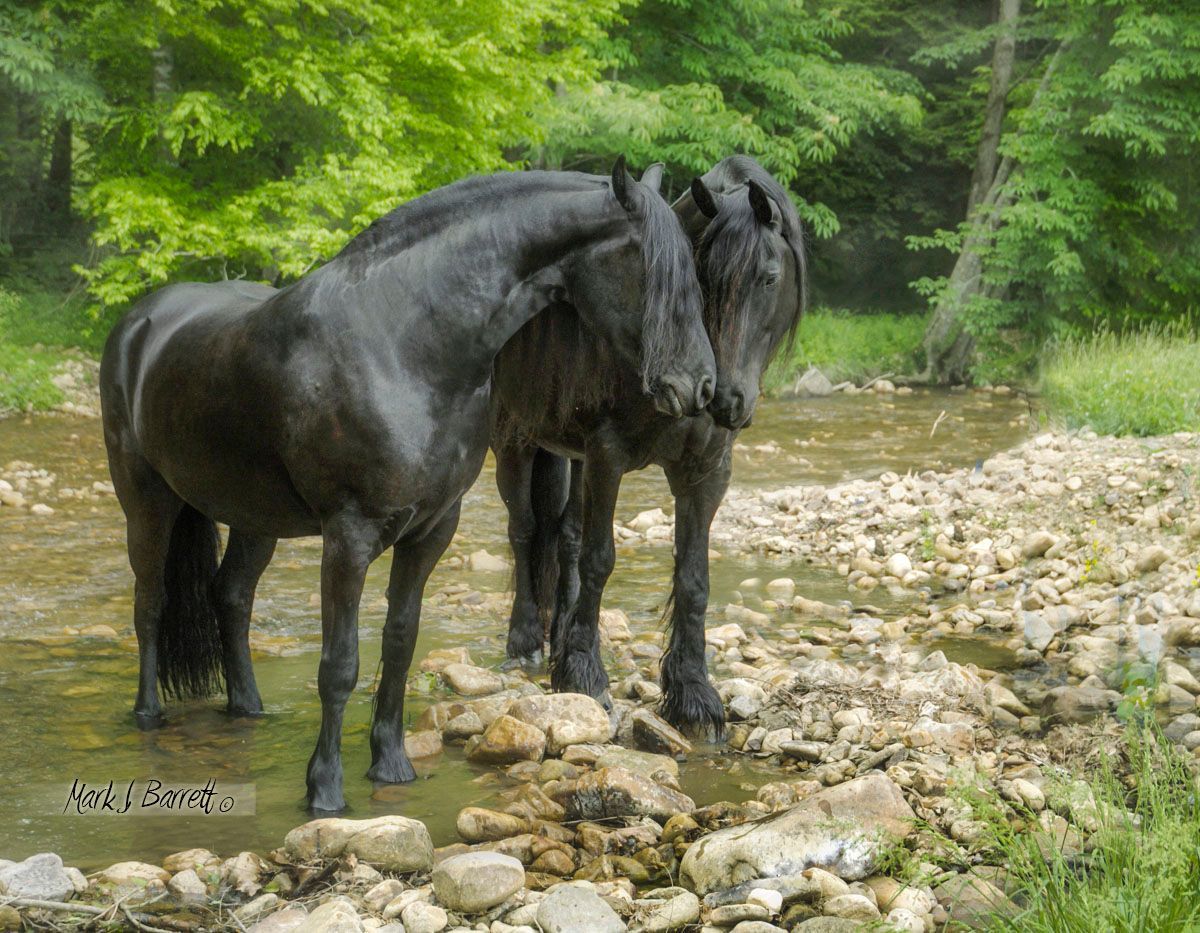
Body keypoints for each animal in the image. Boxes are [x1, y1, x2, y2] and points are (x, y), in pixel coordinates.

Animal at [99, 159, 716, 811]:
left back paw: (248, 708)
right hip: (146, 502)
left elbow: (399, 643)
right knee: (150, 603)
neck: (405, 342)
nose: (699, 387)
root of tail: (138, 324)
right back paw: (148, 714)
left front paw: (391, 765)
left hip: (252, 517)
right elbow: (340, 664)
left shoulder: (430, 531)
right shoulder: (348, 537)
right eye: (652, 271)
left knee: (231, 596)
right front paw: (325, 789)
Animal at [490, 155, 806, 737]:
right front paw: (584, 676)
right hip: (514, 444)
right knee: (523, 532)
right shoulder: (607, 455)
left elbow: (693, 577)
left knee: (563, 537)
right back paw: (525, 643)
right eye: (701, 281)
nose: (723, 399)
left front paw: (693, 694)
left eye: (770, 278)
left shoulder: (707, 471)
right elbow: (600, 560)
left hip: (569, 457)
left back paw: (558, 637)